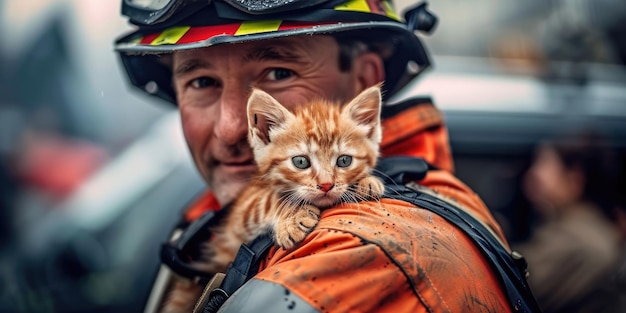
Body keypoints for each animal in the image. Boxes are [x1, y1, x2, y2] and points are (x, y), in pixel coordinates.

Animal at [158, 84, 382, 312]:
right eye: (301, 162)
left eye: (344, 160)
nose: (326, 185)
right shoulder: (243, 212)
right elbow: (270, 199)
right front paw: (294, 218)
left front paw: (367, 182)